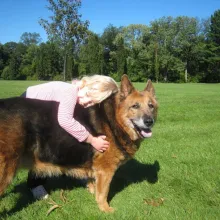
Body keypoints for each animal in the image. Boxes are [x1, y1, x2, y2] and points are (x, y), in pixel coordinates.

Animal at [0, 75, 158, 212]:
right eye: (135, 106)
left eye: (151, 106)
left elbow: (94, 186)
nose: (149, 122)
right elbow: (103, 193)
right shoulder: (105, 171)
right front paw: (105, 210)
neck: (113, 120)